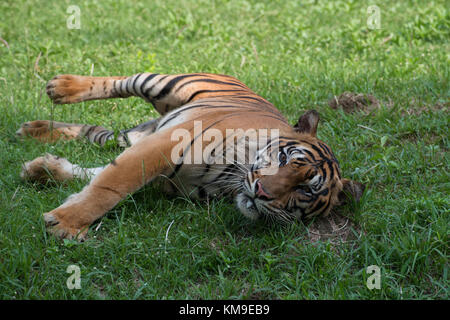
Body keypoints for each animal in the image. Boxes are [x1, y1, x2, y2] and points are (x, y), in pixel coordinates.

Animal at [17, 72, 366, 240]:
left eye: (305, 189)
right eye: (283, 159)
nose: (262, 192)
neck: (230, 181)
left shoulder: (163, 174)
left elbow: (99, 174)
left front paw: (48, 172)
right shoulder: (162, 146)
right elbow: (112, 185)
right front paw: (66, 223)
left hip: (131, 134)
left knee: (97, 133)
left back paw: (35, 140)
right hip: (160, 84)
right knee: (118, 83)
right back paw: (61, 87)